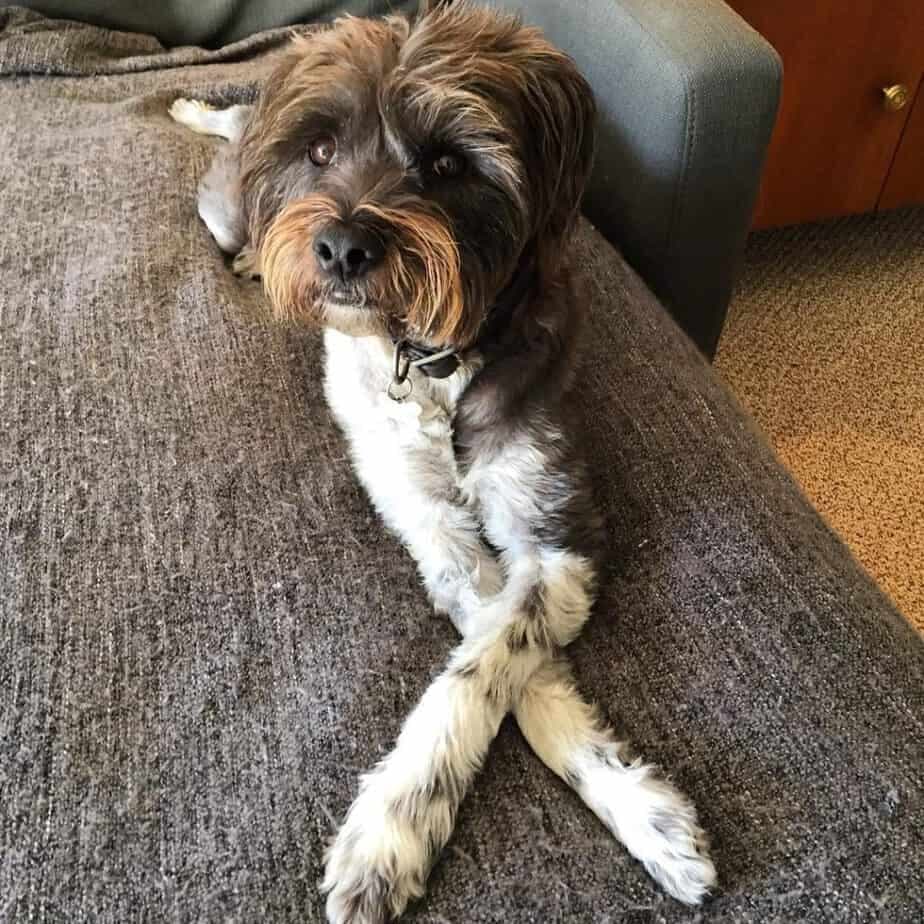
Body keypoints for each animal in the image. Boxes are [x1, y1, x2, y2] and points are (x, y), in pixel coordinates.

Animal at [170, 3, 720, 920]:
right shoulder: (432, 528)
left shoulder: (553, 533)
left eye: (447, 162)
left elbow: (488, 667)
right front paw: (389, 836)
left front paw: (642, 815)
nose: (342, 247)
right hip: (226, 206)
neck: (429, 354)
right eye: (320, 151)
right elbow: (496, 667)